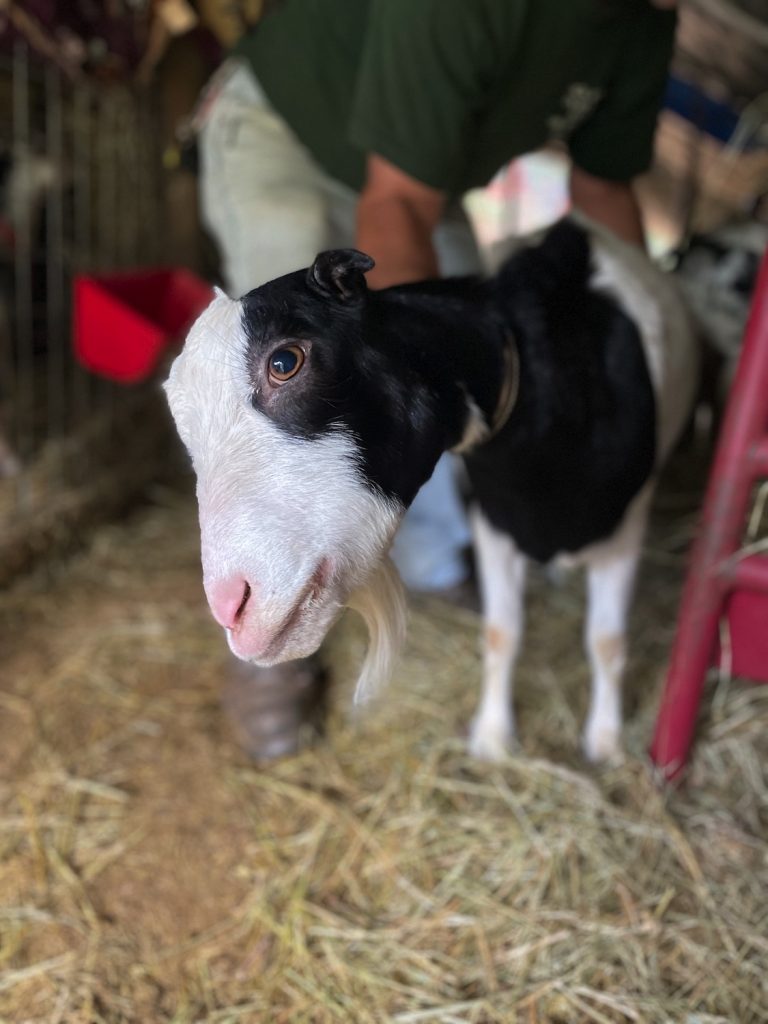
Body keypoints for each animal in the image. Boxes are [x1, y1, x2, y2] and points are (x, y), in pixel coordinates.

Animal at [165, 218, 700, 761]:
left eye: (284, 361)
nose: (231, 607)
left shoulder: (625, 526)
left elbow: (607, 641)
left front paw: (606, 743)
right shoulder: (492, 517)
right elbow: (501, 632)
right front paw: (492, 738)